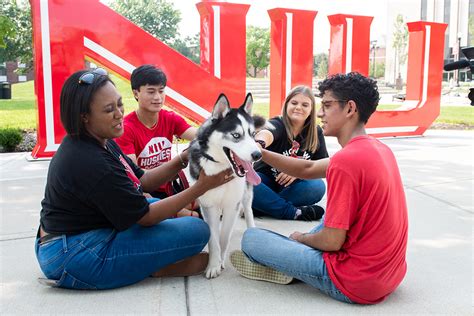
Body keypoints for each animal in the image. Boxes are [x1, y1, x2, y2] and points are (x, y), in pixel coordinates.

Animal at [188, 92, 262, 278]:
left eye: (252, 134)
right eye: (236, 135)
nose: (258, 154)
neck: (221, 167)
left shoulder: (231, 205)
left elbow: (224, 236)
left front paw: (220, 261)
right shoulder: (208, 206)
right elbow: (213, 238)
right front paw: (213, 264)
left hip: (247, 192)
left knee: (248, 209)